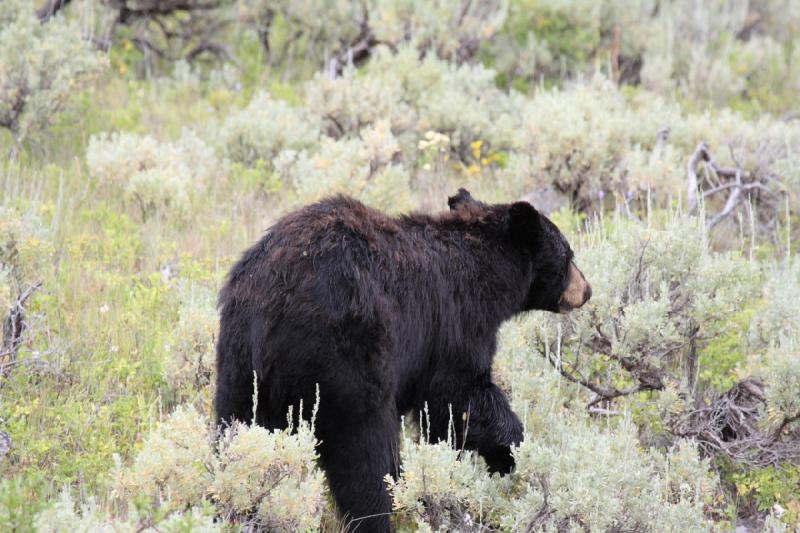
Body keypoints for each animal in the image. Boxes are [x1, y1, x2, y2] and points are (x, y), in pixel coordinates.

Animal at [216, 189, 592, 528]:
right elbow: (460, 395)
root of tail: (275, 303)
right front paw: (512, 453)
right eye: (569, 254)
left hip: (240, 361)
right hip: (346, 357)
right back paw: (379, 513)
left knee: (234, 425)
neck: (487, 275)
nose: (587, 290)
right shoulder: (455, 324)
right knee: (365, 455)